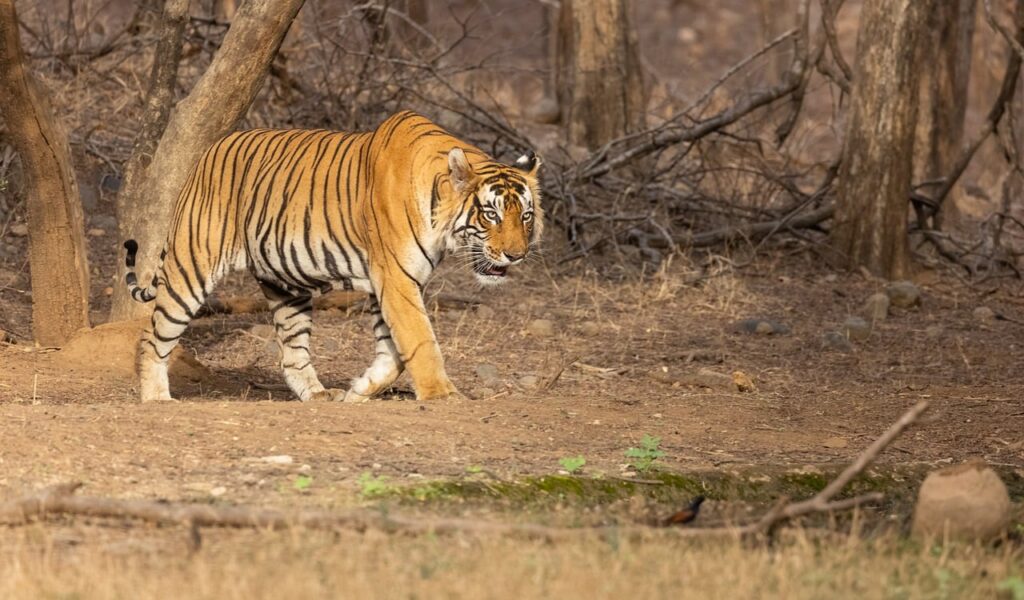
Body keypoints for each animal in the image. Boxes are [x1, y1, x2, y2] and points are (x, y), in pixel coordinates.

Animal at [122, 111, 542, 403]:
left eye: (525, 215)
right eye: (491, 215)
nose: (516, 255)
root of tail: (207, 153)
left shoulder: (388, 284)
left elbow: (394, 352)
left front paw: (360, 390)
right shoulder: (396, 278)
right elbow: (421, 340)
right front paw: (444, 396)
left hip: (285, 285)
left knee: (292, 354)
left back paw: (319, 394)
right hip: (192, 266)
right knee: (152, 336)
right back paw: (157, 398)